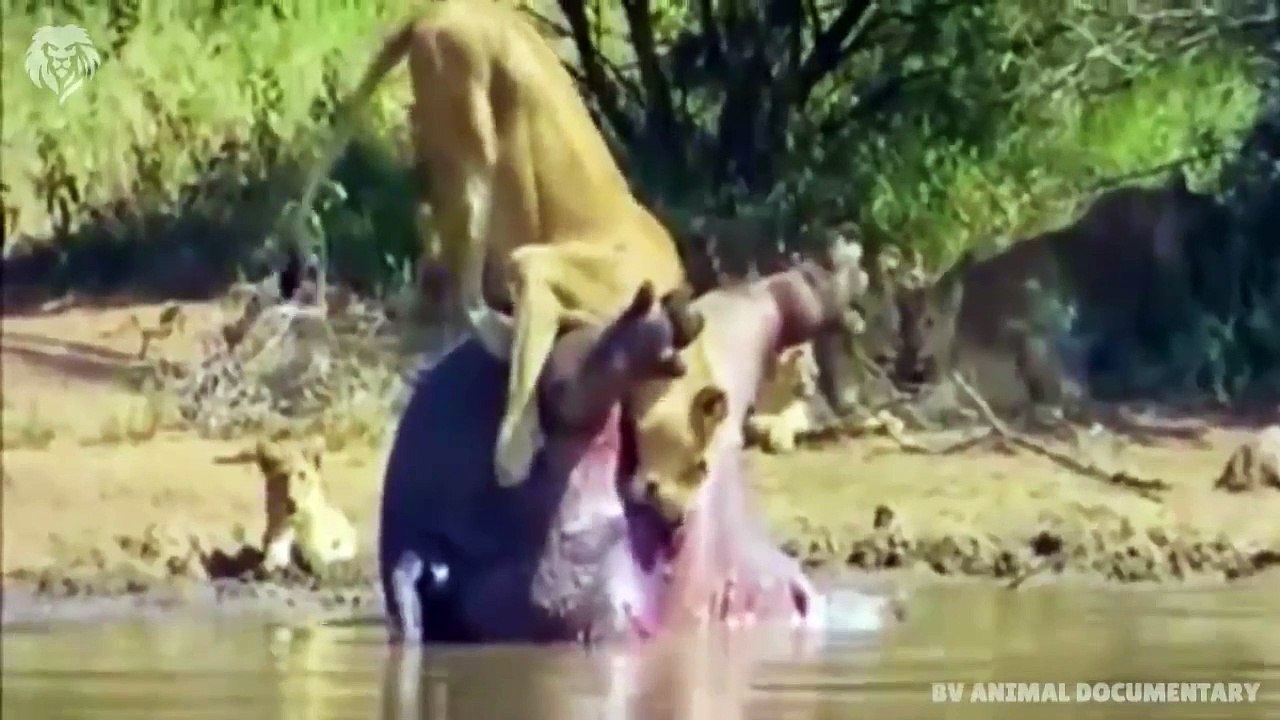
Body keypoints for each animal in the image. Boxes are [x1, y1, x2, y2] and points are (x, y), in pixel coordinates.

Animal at [287, 0, 721, 490]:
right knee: (463, 286)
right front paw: (513, 452)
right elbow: (526, 370)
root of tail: (436, 12)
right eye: (699, 466)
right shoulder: (537, 266)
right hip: (471, 151)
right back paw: (500, 332)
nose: (678, 508)